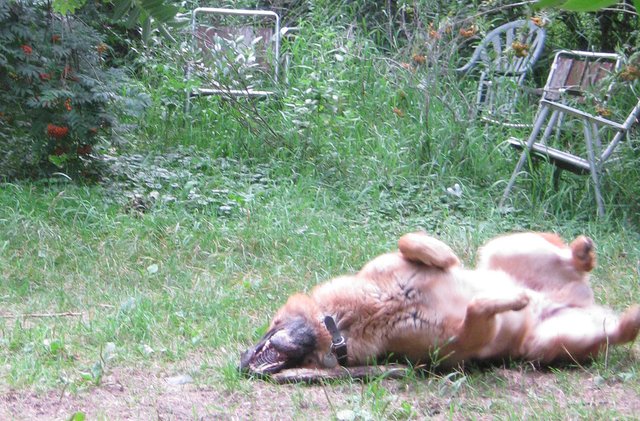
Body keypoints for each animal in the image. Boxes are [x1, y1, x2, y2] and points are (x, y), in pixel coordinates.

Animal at [240, 233, 640, 374]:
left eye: (271, 324)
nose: (241, 362)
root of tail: (577, 298)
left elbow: (410, 240)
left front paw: (443, 256)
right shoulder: (458, 344)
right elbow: (478, 309)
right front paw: (510, 299)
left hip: (499, 247)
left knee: (569, 255)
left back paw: (581, 251)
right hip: (548, 343)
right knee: (621, 330)